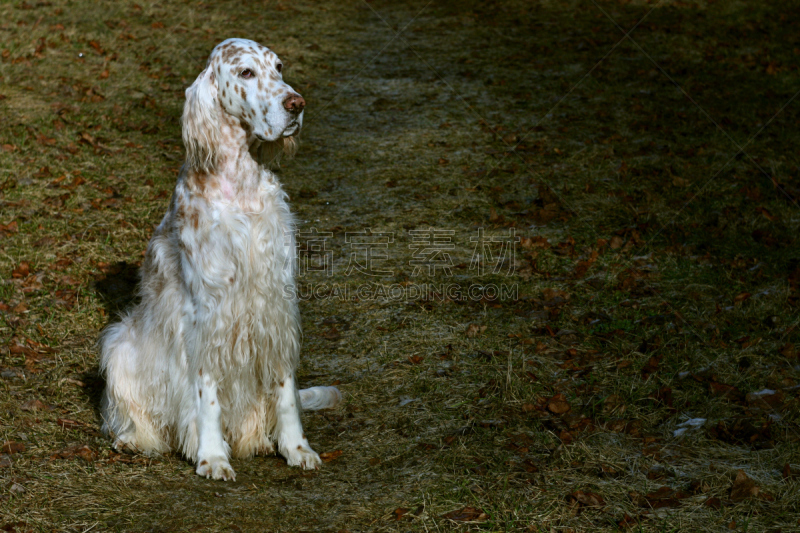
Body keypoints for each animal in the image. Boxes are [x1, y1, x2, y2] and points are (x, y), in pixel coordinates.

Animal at [98, 36, 340, 478]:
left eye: (279, 67)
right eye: (246, 72)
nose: (296, 104)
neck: (238, 184)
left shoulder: (275, 303)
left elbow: (285, 390)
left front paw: (297, 448)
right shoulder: (205, 314)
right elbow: (205, 394)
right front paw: (211, 455)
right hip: (119, 343)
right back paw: (136, 439)